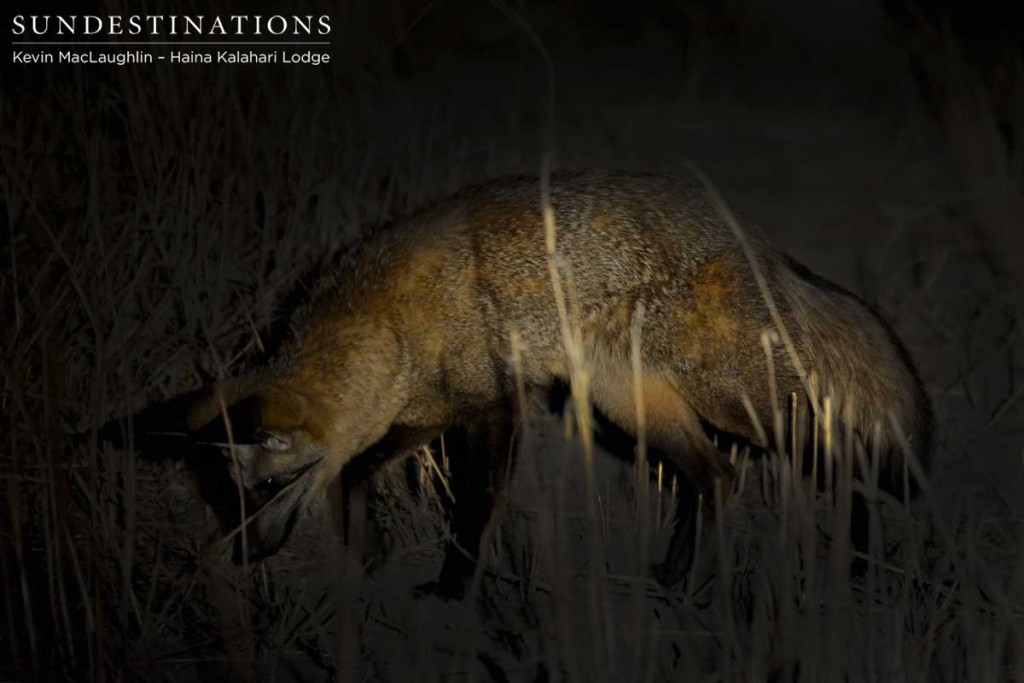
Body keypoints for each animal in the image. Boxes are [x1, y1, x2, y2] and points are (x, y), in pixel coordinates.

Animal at [96, 167, 929, 593]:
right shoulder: (432, 407)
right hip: (631, 405)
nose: (251, 553)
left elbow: (472, 512)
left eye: (269, 489)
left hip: (734, 400)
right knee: (714, 478)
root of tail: (749, 234)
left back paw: (861, 560)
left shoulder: (494, 407)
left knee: (837, 448)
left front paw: (450, 588)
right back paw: (676, 575)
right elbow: (359, 469)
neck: (385, 325)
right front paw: (367, 551)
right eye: (234, 499)